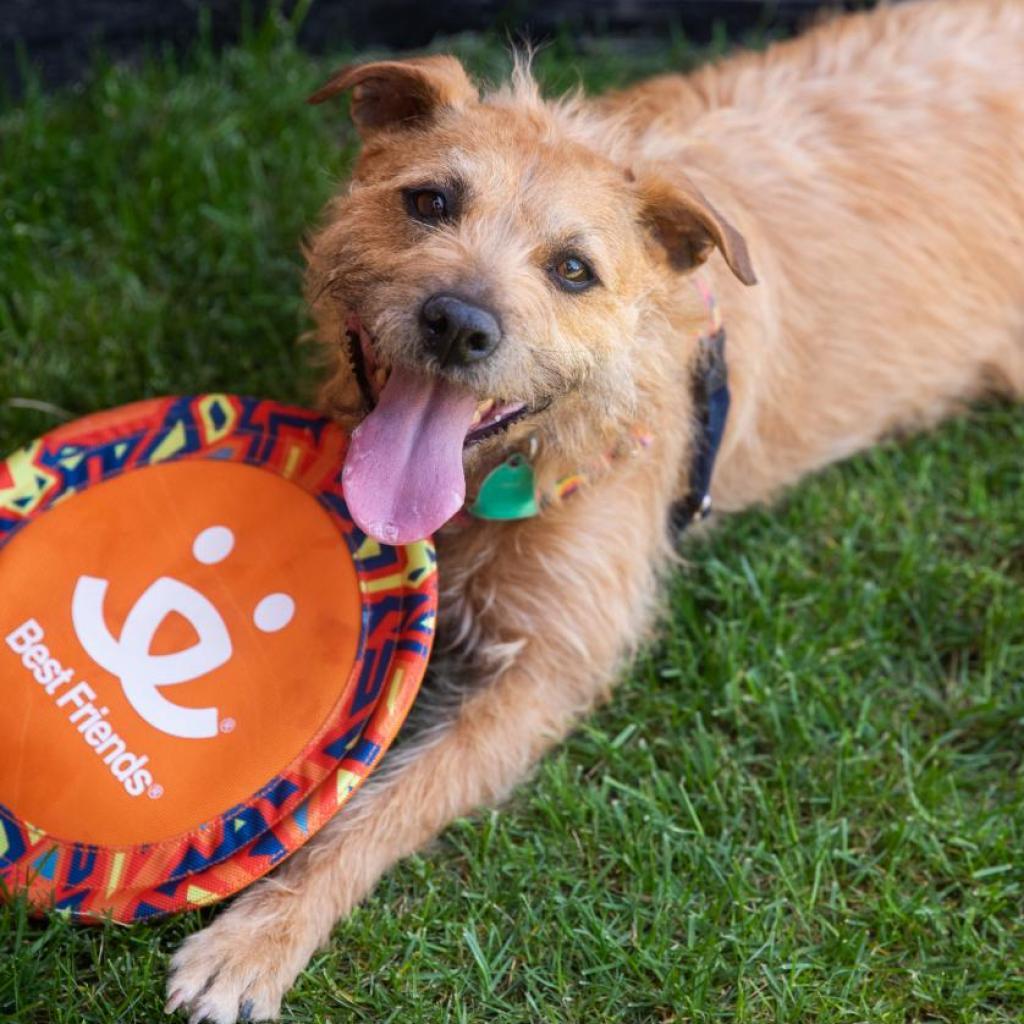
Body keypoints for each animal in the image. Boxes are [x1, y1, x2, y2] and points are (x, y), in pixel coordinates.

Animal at [163, 4, 1024, 1019]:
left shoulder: (549, 669)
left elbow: (386, 806)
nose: (459, 323)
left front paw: (260, 936)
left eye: (573, 269)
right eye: (430, 202)